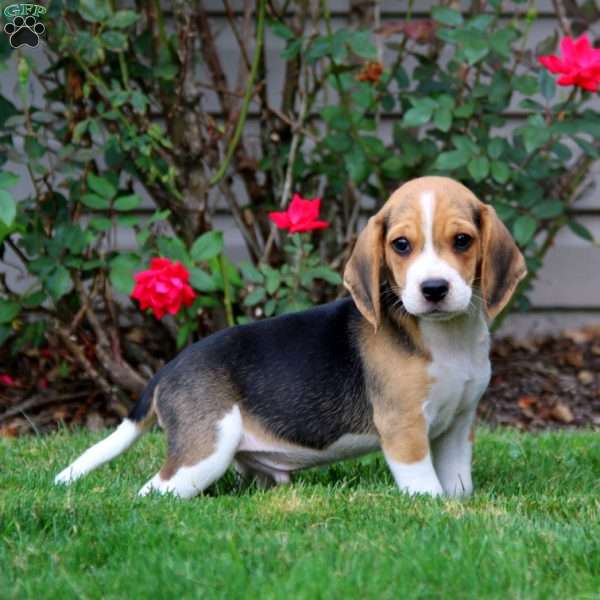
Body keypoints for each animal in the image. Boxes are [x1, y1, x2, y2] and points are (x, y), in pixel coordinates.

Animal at [55, 176, 524, 500]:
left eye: (462, 240)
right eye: (401, 245)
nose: (433, 289)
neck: (446, 337)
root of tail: (168, 368)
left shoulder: (458, 425)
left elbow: (458, 482)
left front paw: (459, 507)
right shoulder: (403, 427)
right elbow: (424, 485)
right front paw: (432, 508)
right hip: (206, 452)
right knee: (154, 491)